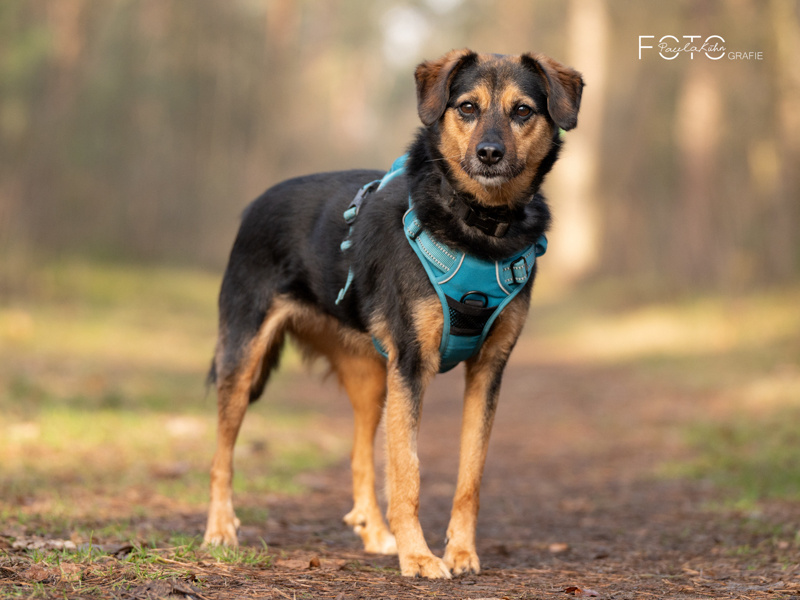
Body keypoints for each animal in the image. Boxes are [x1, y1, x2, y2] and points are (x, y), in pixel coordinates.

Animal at [203, 49, 583, 579]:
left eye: (523, 111)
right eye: (467, 107)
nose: (489, 153)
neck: (479, 226)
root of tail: (256, 204)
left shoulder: (488, 369)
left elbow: (470, 473)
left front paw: (460, 551)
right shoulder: (412, 364)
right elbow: (408, 472)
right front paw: (419, 557)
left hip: (370, 378)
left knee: (361, 455)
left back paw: (377, 533)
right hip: (243, 359)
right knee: (223, 452)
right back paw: (220, 529)